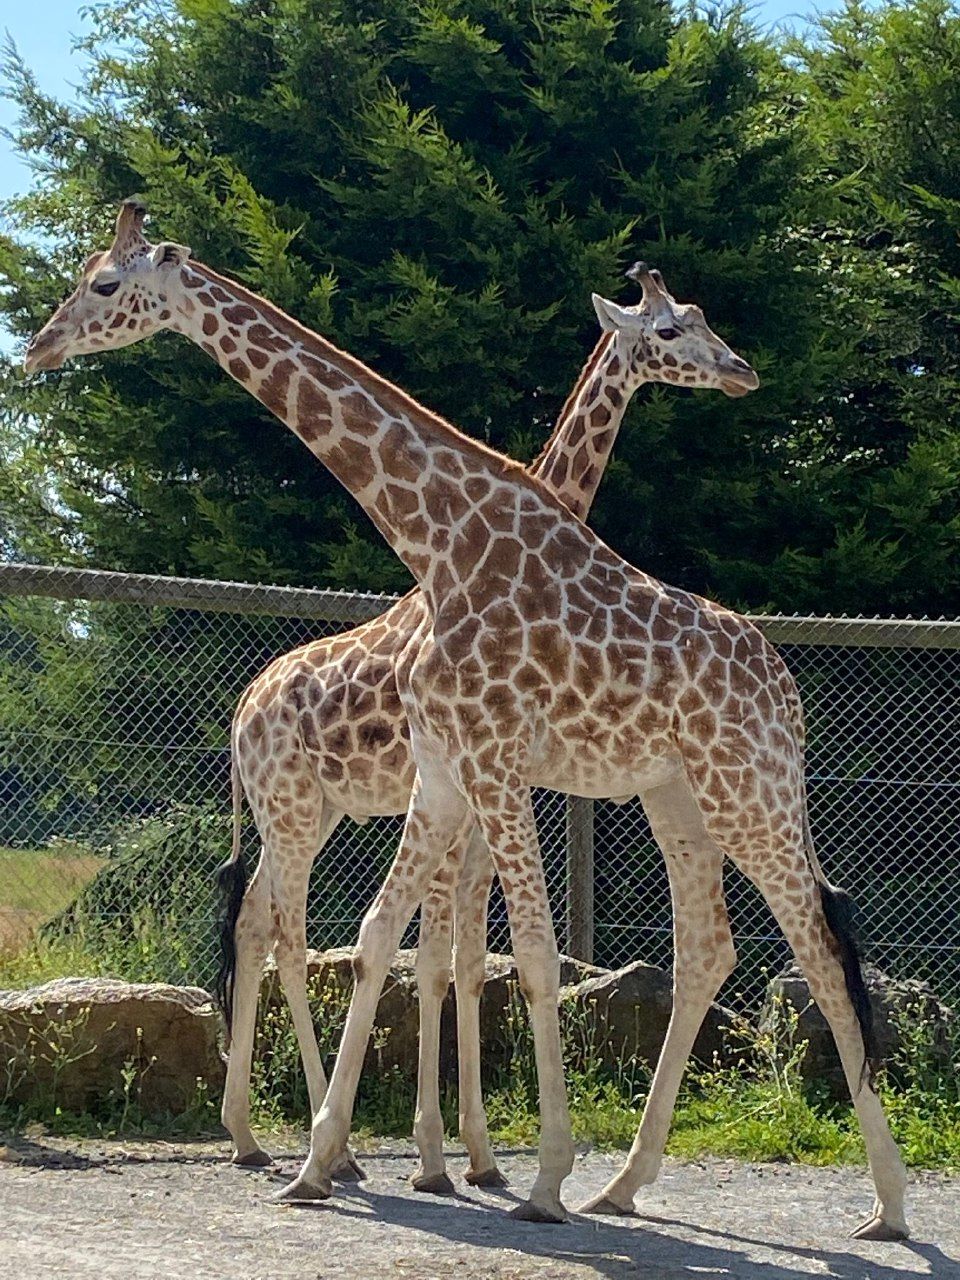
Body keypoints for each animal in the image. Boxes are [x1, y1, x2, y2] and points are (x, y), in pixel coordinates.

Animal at [24, 202, 911, 1239]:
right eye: (670, 326)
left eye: (105, 284)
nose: (40, 346)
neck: (444, 542)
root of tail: (787, 689)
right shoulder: (449, 776)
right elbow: (393, 944)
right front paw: (334, 1162)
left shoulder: (492, 767)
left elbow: (513, 957)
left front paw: (523, 1175)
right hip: (657, 798)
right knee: (704, 947)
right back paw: (618, 1183)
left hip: (743, 791)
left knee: (815, 944)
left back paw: (886, 1205)